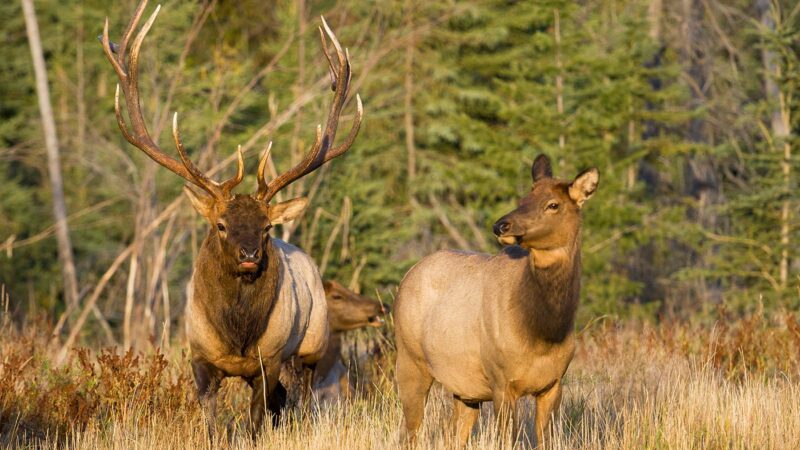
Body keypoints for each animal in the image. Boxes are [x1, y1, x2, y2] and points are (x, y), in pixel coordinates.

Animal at [99, 0, 362, 436]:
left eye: (267, 227)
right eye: (220, 225)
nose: (249, 255)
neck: (237, 337)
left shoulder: (269, 360)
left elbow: (256, 420)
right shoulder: (200, 357)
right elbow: (211, 419)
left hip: (313, 342)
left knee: (302, 396)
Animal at [394, 156, 600, 446]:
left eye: (553, 204)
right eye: (523, 198)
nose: (501, 225)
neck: (543, 333)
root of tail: (407, 276)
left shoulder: (553, 383)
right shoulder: (501, 381)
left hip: (464, 388)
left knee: (452, 435)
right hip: (410, 359)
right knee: (410, 431)